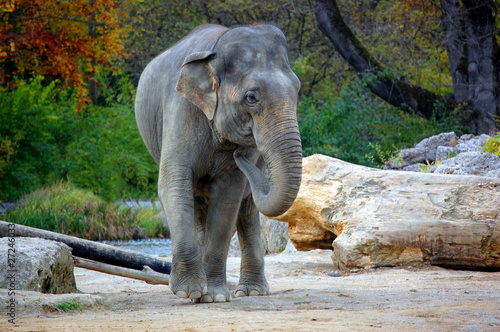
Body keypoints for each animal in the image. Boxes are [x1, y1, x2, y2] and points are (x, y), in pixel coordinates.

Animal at [135, 24, 302, 304]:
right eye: (251, 97)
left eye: (298, 90)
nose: (242, 154)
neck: (215, 51)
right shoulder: (181, 110)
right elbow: (174, 183)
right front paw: (189, 292)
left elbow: (227, 198)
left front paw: (214, 296)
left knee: (247, 207)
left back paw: (252, 292)